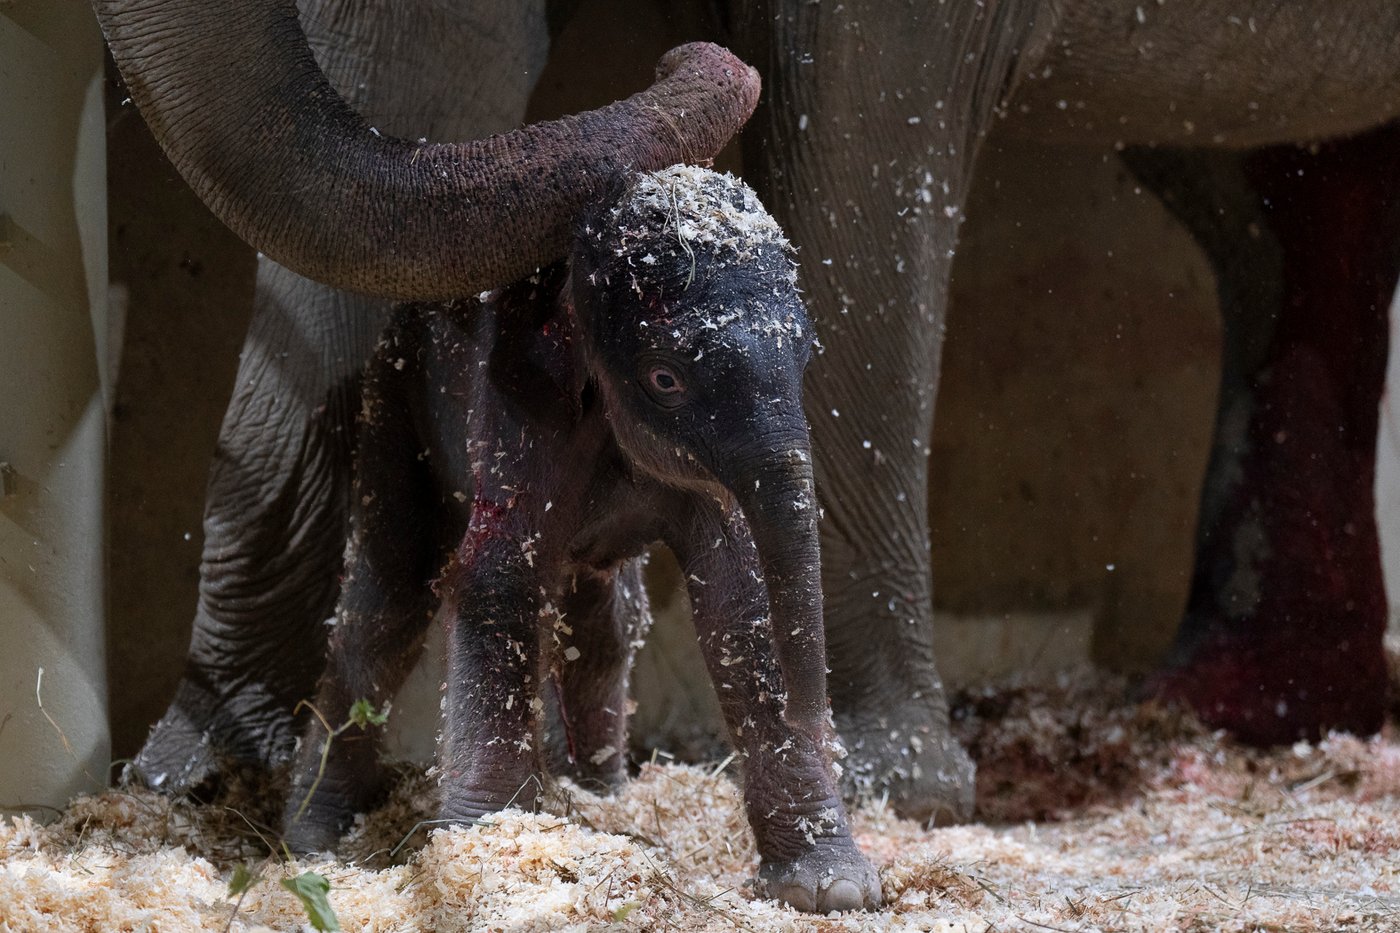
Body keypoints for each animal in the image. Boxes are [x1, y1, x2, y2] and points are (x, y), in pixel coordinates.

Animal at [100, 0, 1400, 830]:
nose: (687, 50)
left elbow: (867, 129)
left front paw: (886, 790)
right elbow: (393, 72)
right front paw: (181, 789)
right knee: (1281, 203)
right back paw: (1242, 706)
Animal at [284, 165, 880, 911]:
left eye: (804, 358)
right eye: (665, 378)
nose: (819, 718)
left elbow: (744, 596)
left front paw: (834, 889)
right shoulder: (516, 404)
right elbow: (499, 577)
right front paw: (488, 857)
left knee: (607, 618)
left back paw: (601, 796)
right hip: (394, 396)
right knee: (386, 599)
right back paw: (312, 838)